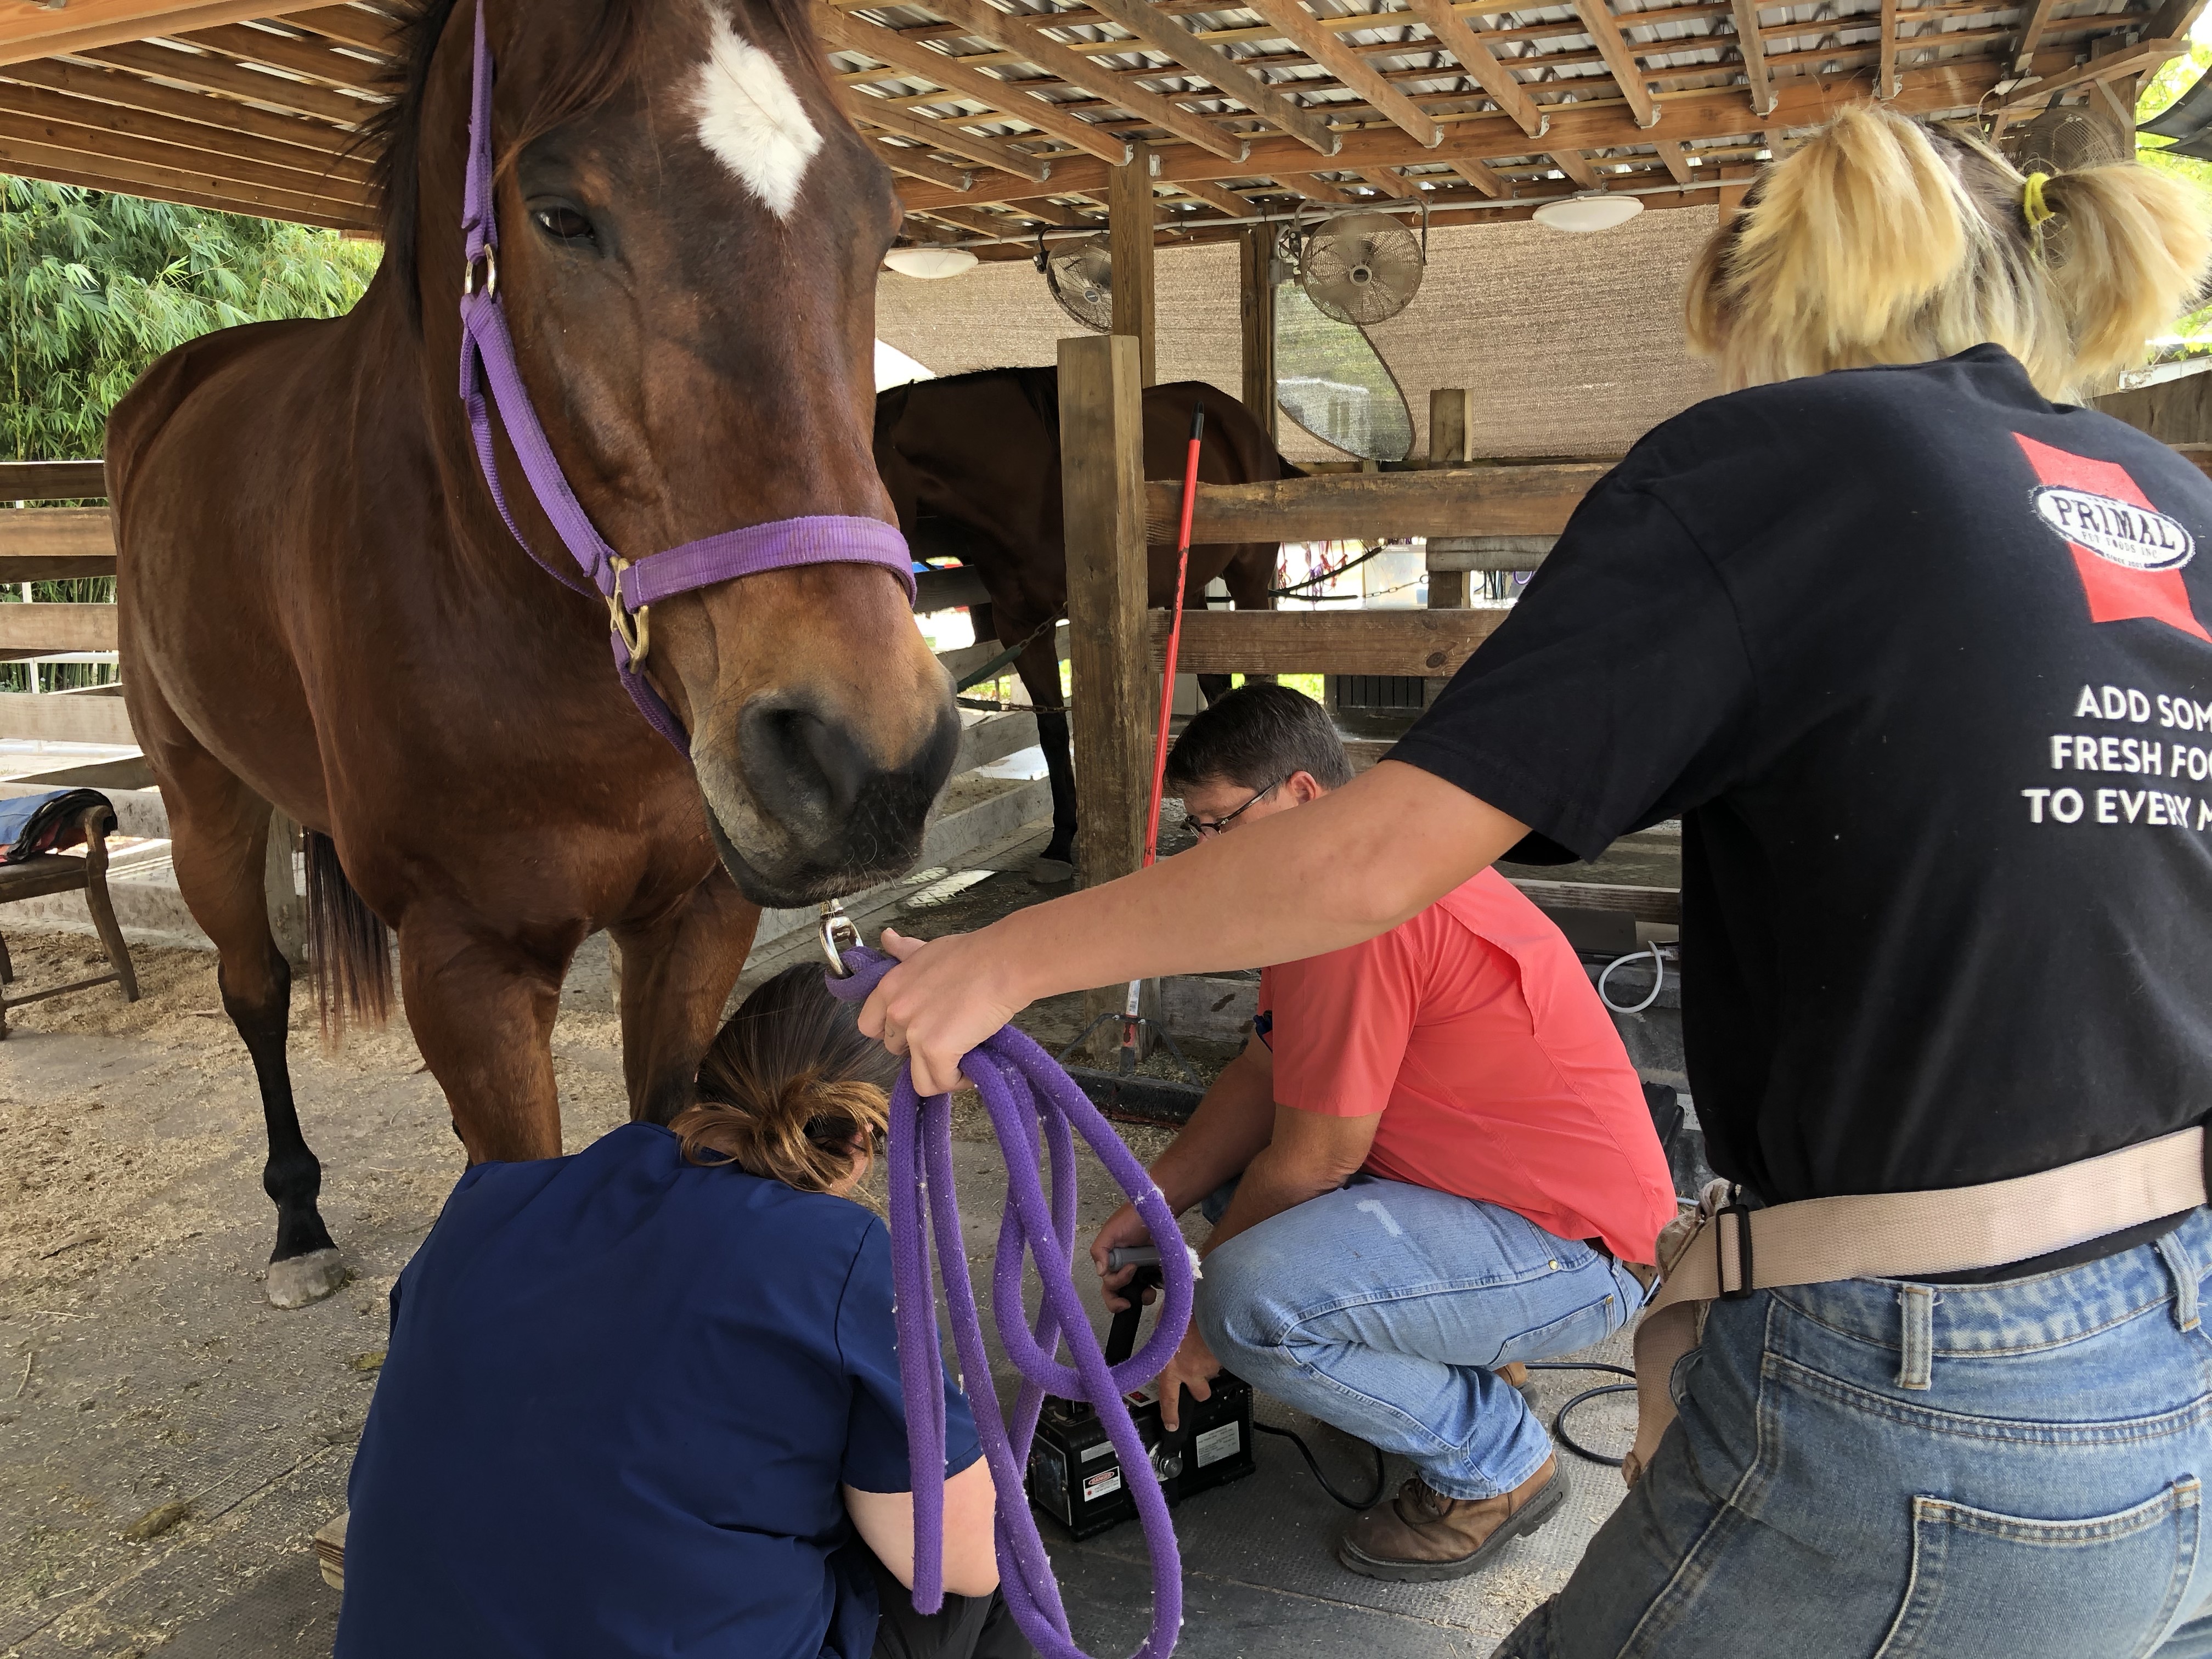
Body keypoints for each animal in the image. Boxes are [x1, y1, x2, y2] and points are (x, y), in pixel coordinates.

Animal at [109, 0, 954, 1309]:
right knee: (254, 989)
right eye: (562, 215)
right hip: (203, 799)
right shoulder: (470, 968)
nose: (864, 758)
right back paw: (297, 1223)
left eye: (876, 222)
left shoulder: (693, 923)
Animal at [873, 369, 1295, 877]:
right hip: (1189, 589)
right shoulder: (1021, 625)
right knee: (1215, 681)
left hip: (1249, 579)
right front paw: (1060, 841)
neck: (1031, 488)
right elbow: (1053, 732)